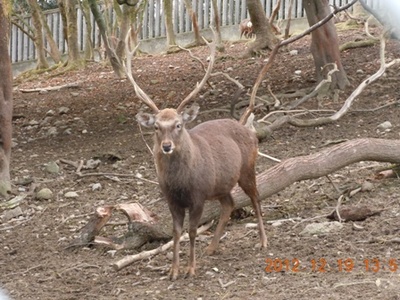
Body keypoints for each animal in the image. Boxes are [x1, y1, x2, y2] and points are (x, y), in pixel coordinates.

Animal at [125, 29, 268, 280]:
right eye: (156, 127)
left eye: (179, 124)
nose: (167, 146)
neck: (180, 183)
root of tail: (249, 130)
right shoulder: (172, 200)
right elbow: (176, 232)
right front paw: (173, 271)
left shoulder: (199, 194)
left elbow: (191, 231)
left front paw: (190, 269)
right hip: (221, 184)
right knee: (229, 204)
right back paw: (211, 247)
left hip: (247, 169)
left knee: (255, 198)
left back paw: (263, 241)